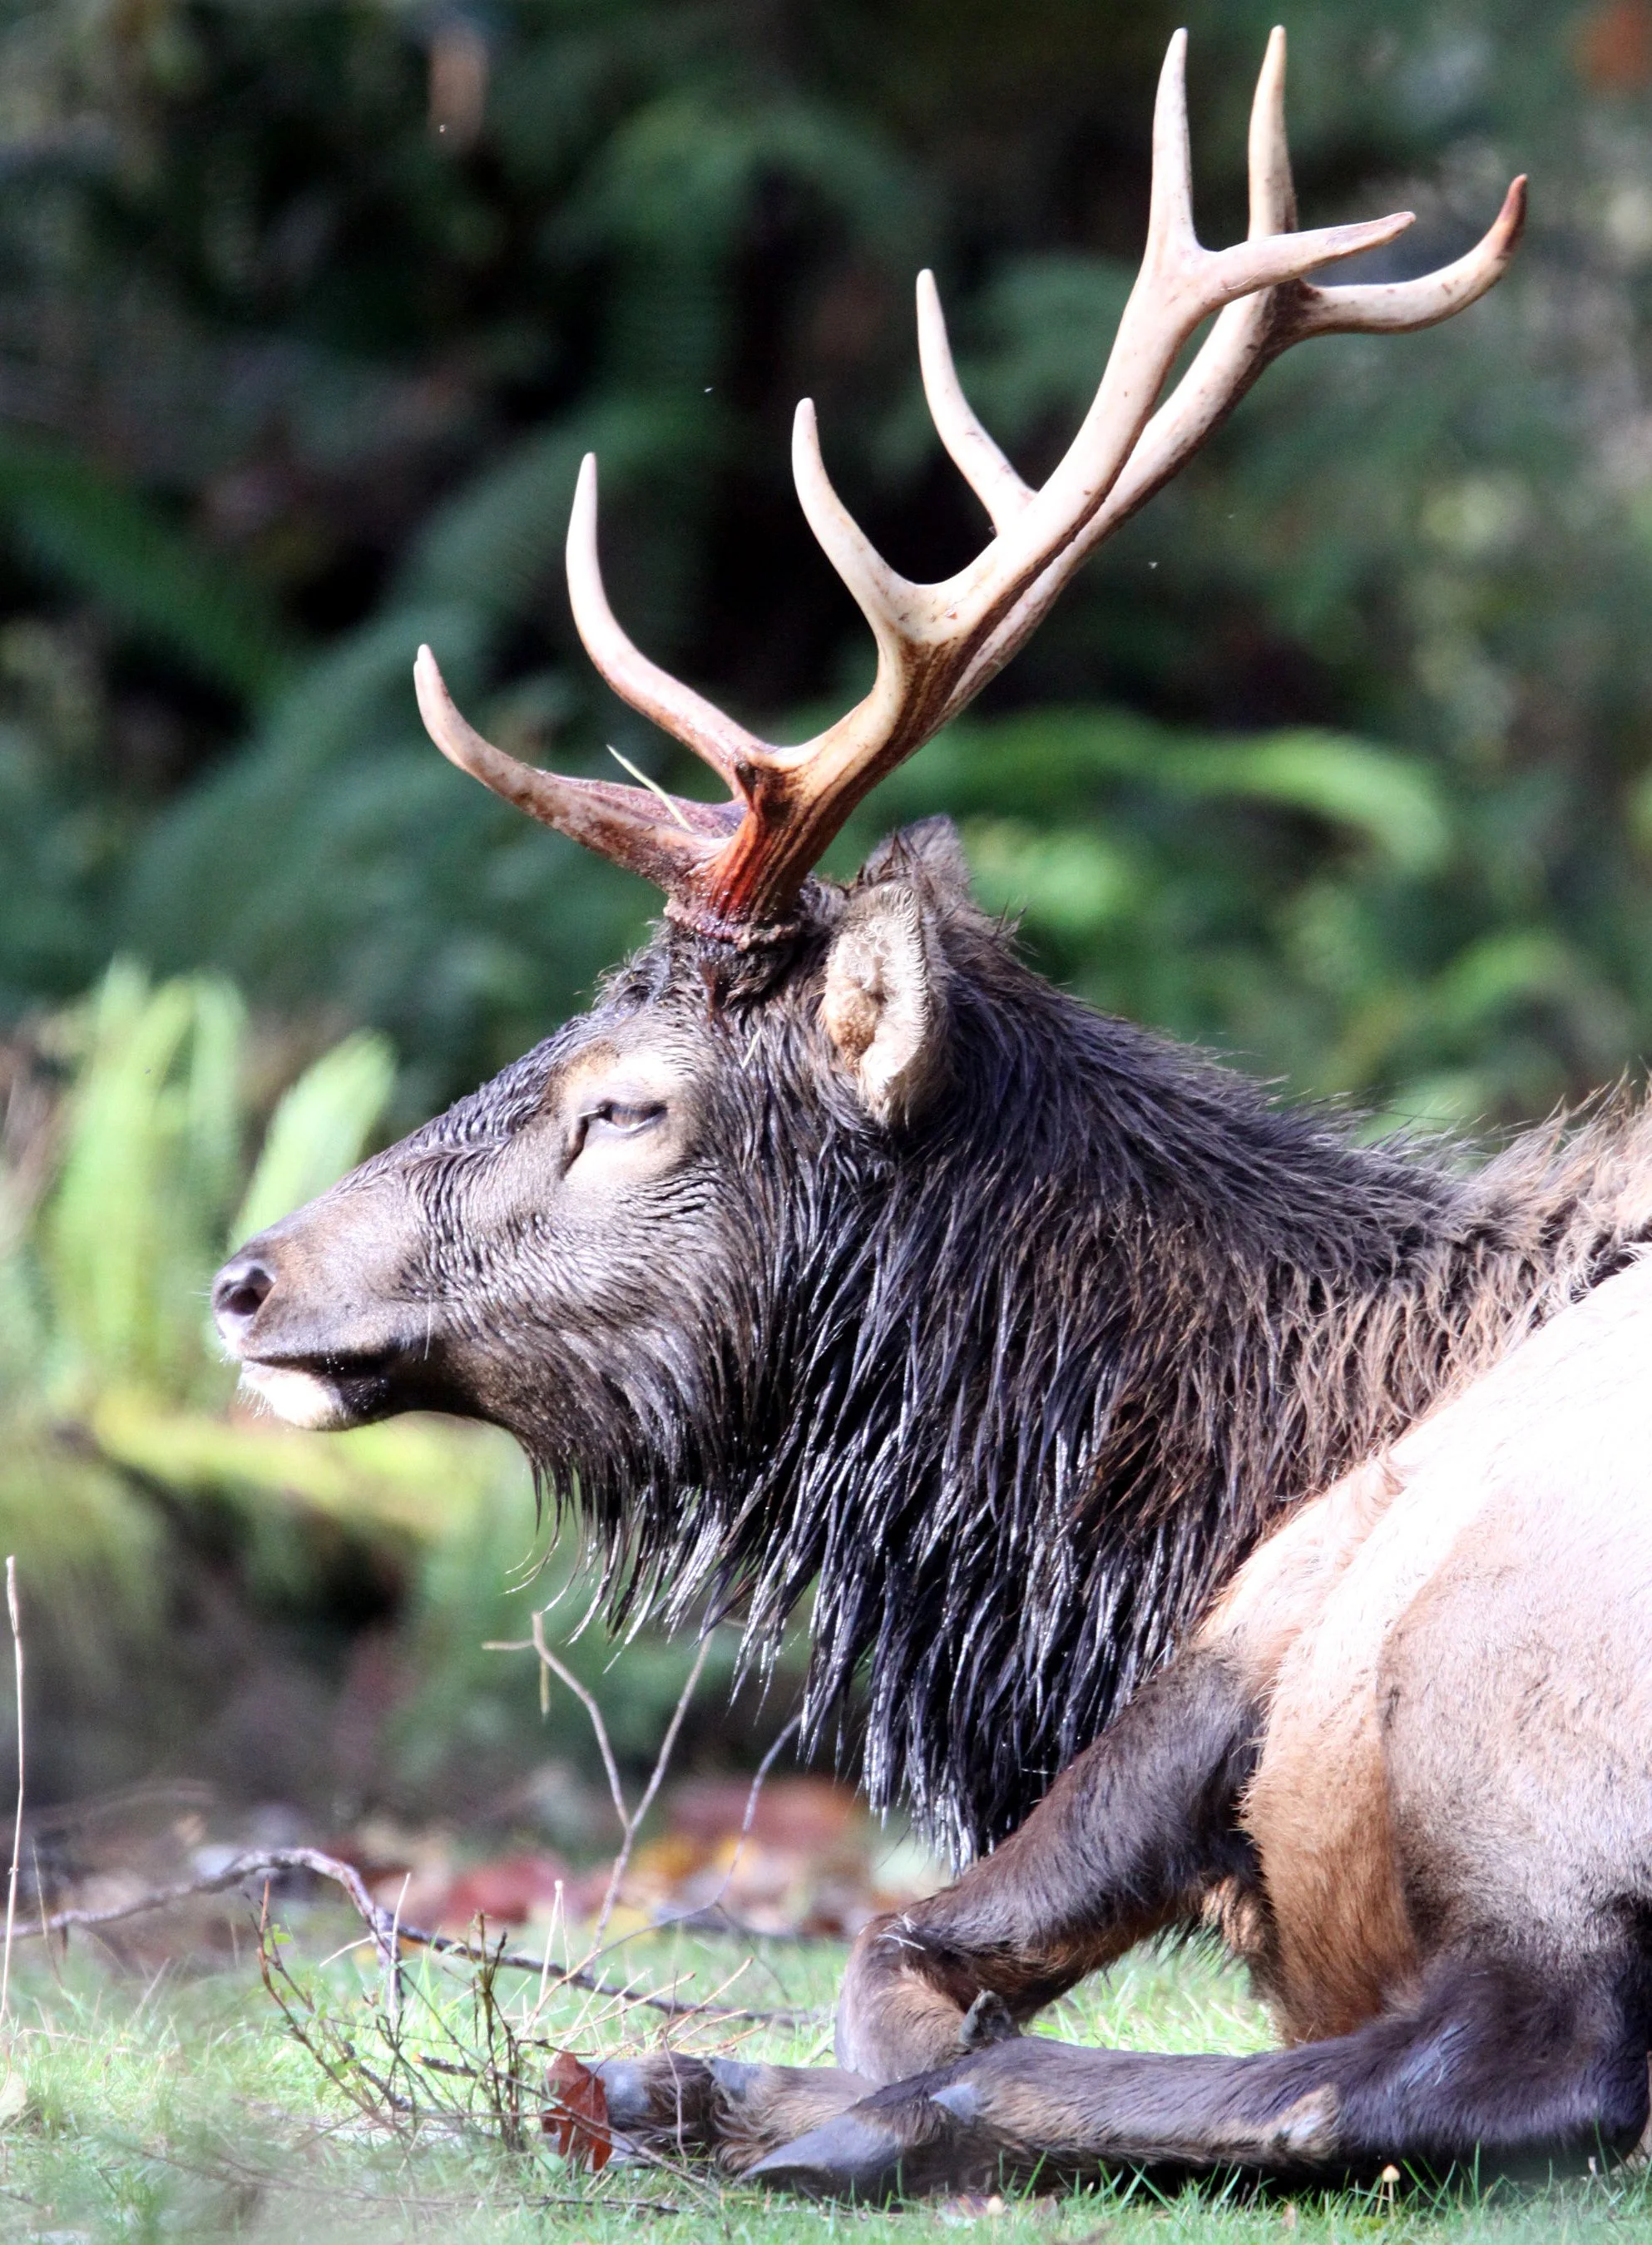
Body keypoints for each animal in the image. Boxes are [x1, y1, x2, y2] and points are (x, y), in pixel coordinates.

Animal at [206, 24, 1652, 2196]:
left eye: (627, 1103)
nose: (247, 1276)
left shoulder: (1250, 1615)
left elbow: (892, 1945)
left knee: (1446, 2068)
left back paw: (692, 2092)